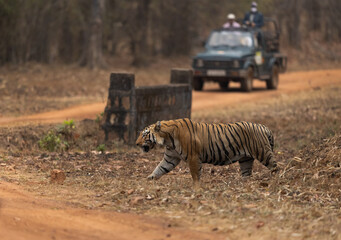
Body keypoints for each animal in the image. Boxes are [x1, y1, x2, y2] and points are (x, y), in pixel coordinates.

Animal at [135, 118, 278, 188]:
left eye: (144, 134)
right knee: (247, 174)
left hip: (263, 152)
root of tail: (264, 127)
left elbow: (195, 175)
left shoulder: (193, 157)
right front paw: (148, 180)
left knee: (276, 167)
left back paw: (277, 180)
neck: (167, 139)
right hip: (246, 160)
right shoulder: (171, 158)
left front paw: (196, 188)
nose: (136, 144)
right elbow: (159, 169)